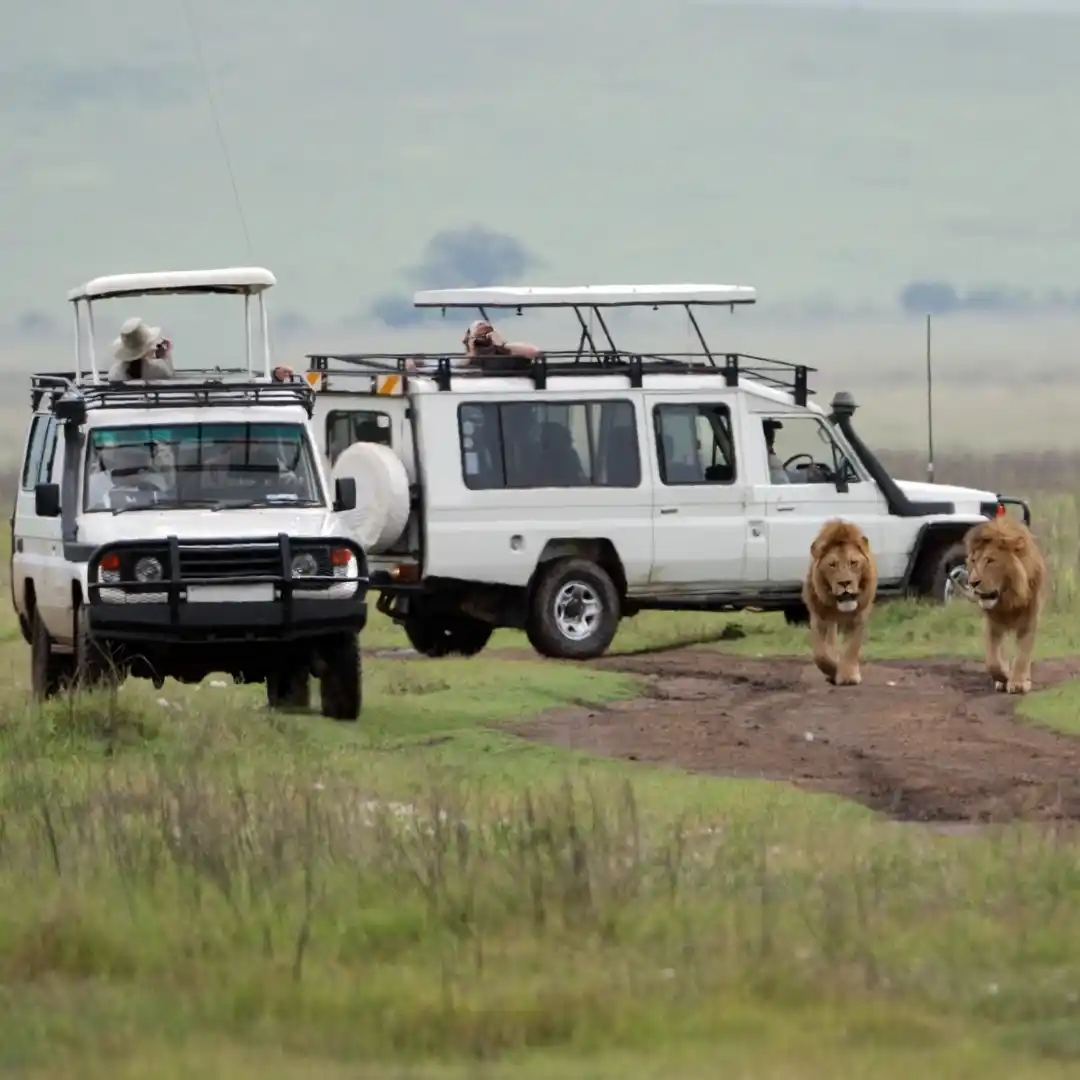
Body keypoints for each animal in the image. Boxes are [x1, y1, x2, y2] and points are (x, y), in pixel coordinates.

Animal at [803, 518, 878, 686]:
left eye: (853, 563)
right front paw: (833, 669)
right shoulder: (820, 618)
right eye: (832, 565)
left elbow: (851, 648)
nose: (845, 583)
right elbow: (821, 655)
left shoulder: (858, 618)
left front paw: (848, 676)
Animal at [963, 516, 1046, 694]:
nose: (972, 582)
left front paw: (1019, 682)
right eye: (973, 561)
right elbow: (992, 660)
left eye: (990, 560)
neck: (1008, 598)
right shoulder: (992, 623)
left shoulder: (1029, 619)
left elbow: (1023, 653)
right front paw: (1003, 677)